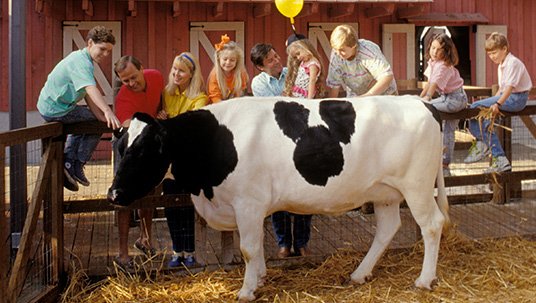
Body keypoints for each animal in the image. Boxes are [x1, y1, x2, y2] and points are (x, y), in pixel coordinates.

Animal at [109, 96, 452, 302]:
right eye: (120, 147)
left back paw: (424, 280)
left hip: (417, 186)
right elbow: (256, 247)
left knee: (432, 225)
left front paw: (247, 290)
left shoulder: (248, 203)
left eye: (143, 150)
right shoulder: (250, 206)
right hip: (384, 193)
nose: (113, 194)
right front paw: (259, 278)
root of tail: (418, 100)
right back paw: (359, 274)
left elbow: (248, 248)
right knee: (388, 228)